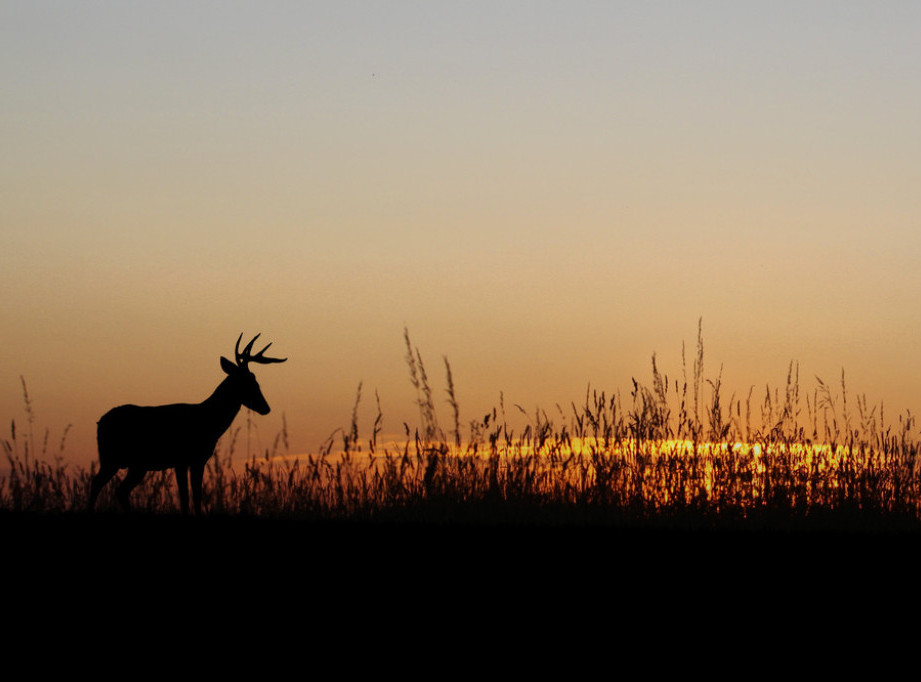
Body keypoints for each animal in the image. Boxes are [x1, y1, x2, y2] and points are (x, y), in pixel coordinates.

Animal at [90, 332, 286, 512]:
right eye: (249, 381)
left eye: (255, 380)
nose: (266, 408)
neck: (208, 421)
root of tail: (100, 422)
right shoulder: (184, 460)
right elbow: (186, 497)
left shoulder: (196, 460)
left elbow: (195, 496)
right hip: (112, 458)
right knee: (97, 483)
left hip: (135, 464)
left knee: (120, 490)